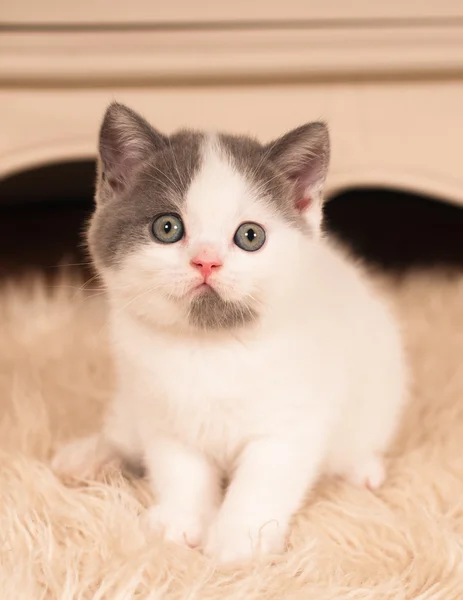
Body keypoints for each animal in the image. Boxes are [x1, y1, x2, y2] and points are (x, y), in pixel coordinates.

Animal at [52, 101, 408, 564]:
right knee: (123, 434)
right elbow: (179, 469)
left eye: (250, 236)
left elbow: (262, 482)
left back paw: (363, 468)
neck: (212, 348)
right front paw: (180, 523)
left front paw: (239, 541)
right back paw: (86, 458)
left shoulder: (290, 423)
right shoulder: (162, 413)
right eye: (167, 228)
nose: (206, 261)